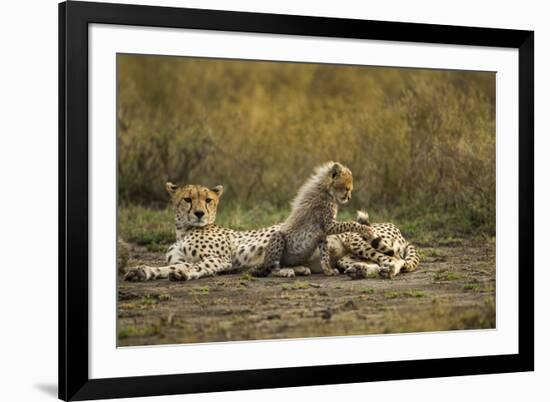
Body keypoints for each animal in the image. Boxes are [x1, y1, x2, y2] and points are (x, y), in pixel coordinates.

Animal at [124, 184, 418, 282]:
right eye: (187, 199)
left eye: (208, 200)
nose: (199, 213)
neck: (184, 230)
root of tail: (396, 226)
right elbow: (165, 267)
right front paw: (142, 271)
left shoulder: (220, 260)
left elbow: (196, 267)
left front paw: (183, 274)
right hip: (345, 254)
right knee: (368, 263)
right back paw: (359, 270)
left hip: (356, 239)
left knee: (395, 260)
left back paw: (386, 271)